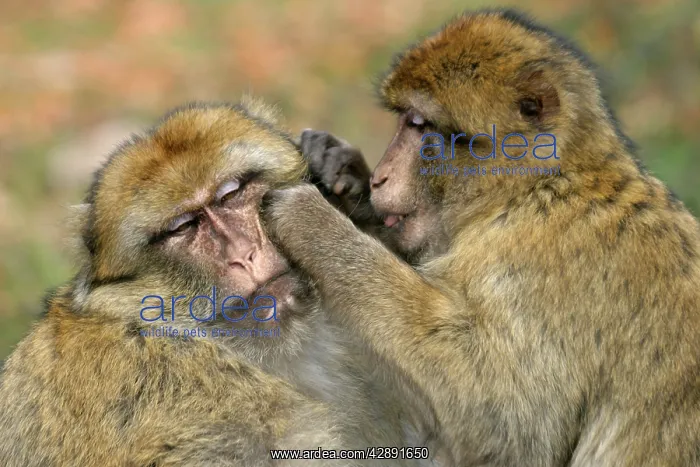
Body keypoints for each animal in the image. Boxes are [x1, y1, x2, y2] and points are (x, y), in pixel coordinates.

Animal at [262, 9, 700, 467]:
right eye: (403, 121)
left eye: (417, 125)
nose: (380, 176)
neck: (532, 189)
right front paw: (342, 173)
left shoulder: (535, 266)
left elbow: (506, 427)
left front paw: (310, 219)